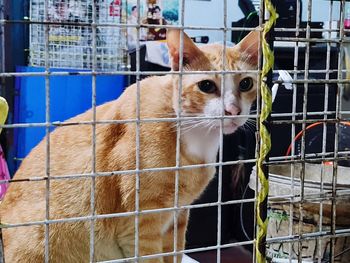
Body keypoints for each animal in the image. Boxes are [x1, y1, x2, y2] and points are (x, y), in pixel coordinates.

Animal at [0, 27, 260, 262]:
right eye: (206, 86)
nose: (233, 111)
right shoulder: (140, 229)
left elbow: (174, 254)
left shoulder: (176, 220)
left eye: (246, 84)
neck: (196, 137)